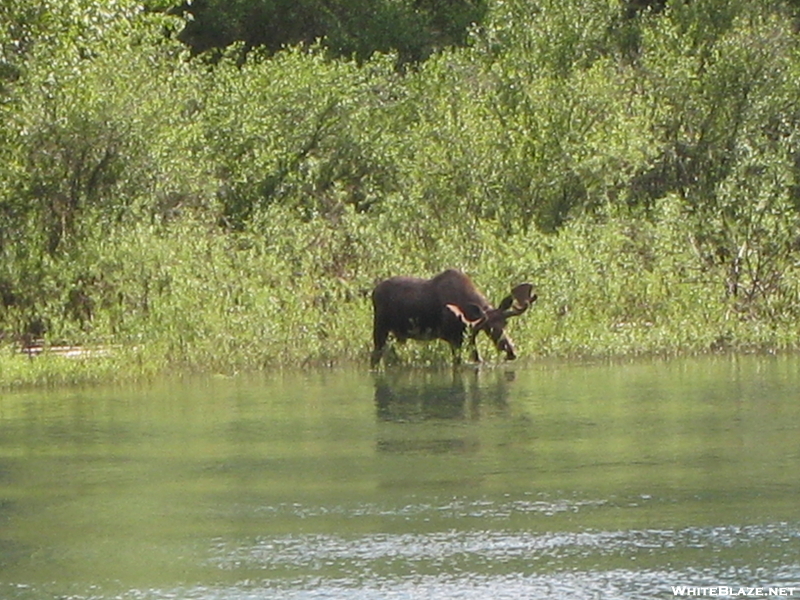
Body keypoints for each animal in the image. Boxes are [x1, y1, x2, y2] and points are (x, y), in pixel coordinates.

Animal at [370, 270, 536, 366]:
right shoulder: (453, 338)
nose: (511, 351)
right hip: (380, 327)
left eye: (505, 322)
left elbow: (477, 360)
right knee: (375, 355)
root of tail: (373, 292)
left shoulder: (469, 335)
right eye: (489, 328)